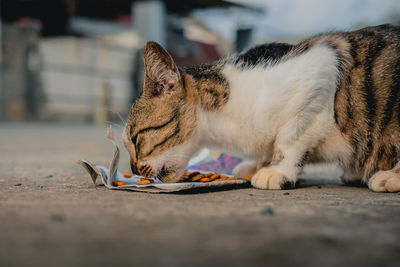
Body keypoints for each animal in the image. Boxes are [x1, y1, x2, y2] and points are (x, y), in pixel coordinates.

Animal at [123, 24, 400, 193]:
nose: (134, 170)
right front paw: (256, 164)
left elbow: (289, 138)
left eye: (136, 139)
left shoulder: (320, 71)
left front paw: (277, 171)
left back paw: (389, 176)